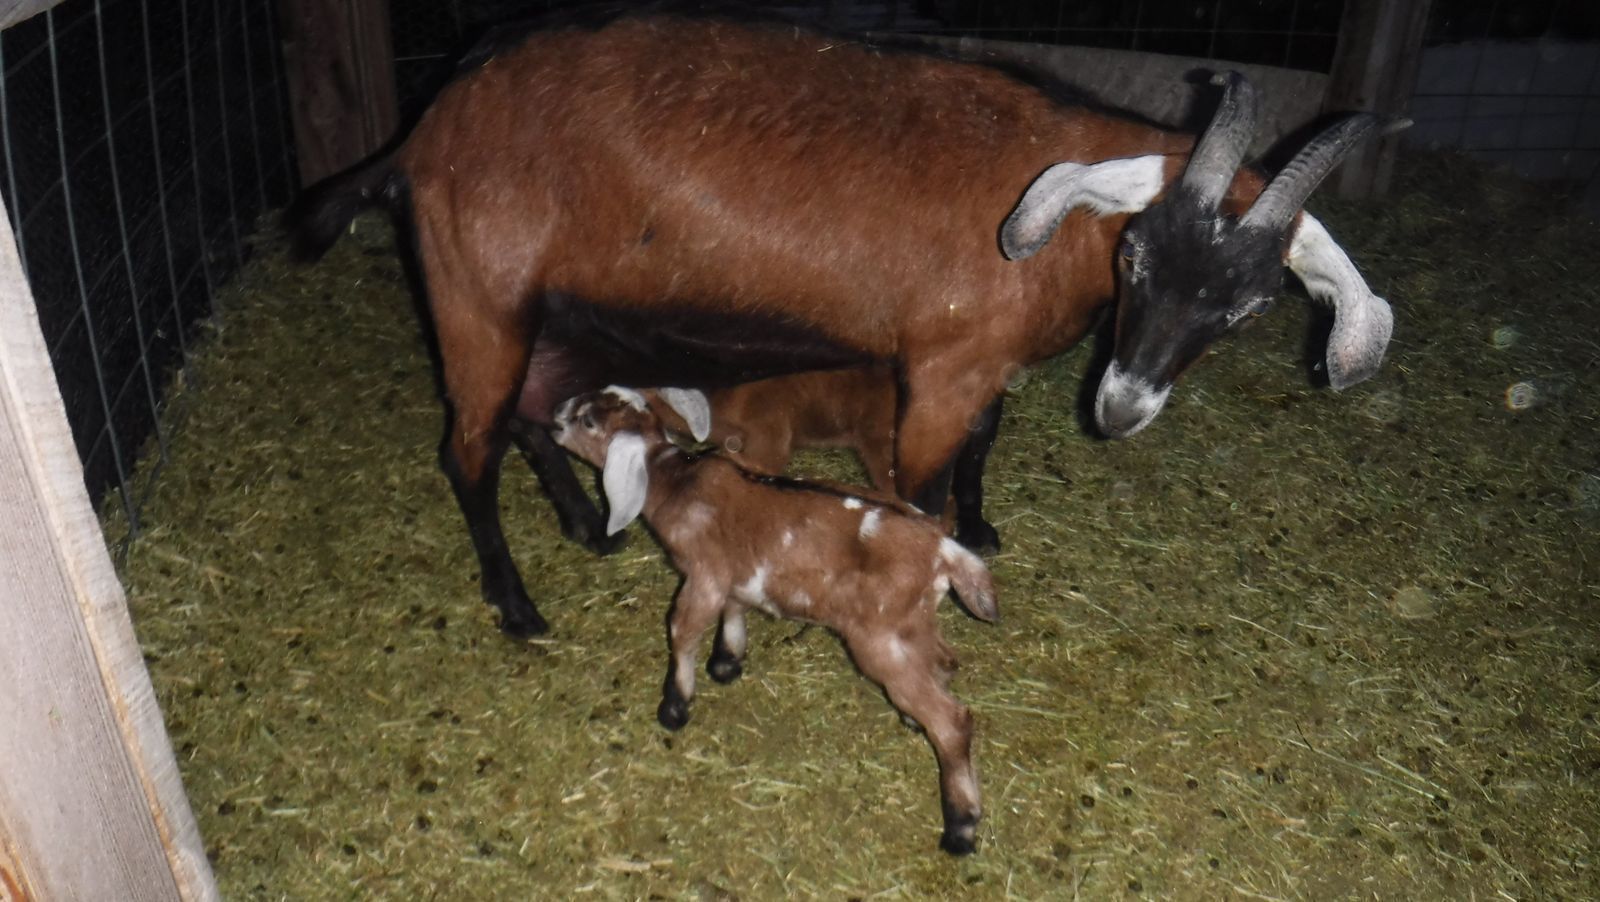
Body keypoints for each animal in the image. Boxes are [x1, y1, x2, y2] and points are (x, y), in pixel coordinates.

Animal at [291, 11, 1394, 638]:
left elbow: (987, 441)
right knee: (467, 448)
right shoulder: (940, 370)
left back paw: (578, 526)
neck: (1065, 228)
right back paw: (519, 610)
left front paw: (984, 526)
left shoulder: (984, 364)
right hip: (478, 295)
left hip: (555, 310)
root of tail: (421, 137)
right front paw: (938, 575)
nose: (1120, 409)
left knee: (530, 412)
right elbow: (923, 487)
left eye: (1246, 308)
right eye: (1137, 259)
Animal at [550, 386, 999, 855]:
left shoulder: (704, 574)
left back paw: (961, 826)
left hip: (880, 639)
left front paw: (674, 706)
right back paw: (916, 720)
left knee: (953, 723)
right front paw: (726, 663)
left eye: (588, 421)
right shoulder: (736, 572)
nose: (553, 417)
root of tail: (945, 551)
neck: (676, 482)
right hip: (912, 622)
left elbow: (682, 630)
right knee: (944, 661)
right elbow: (735, 608)